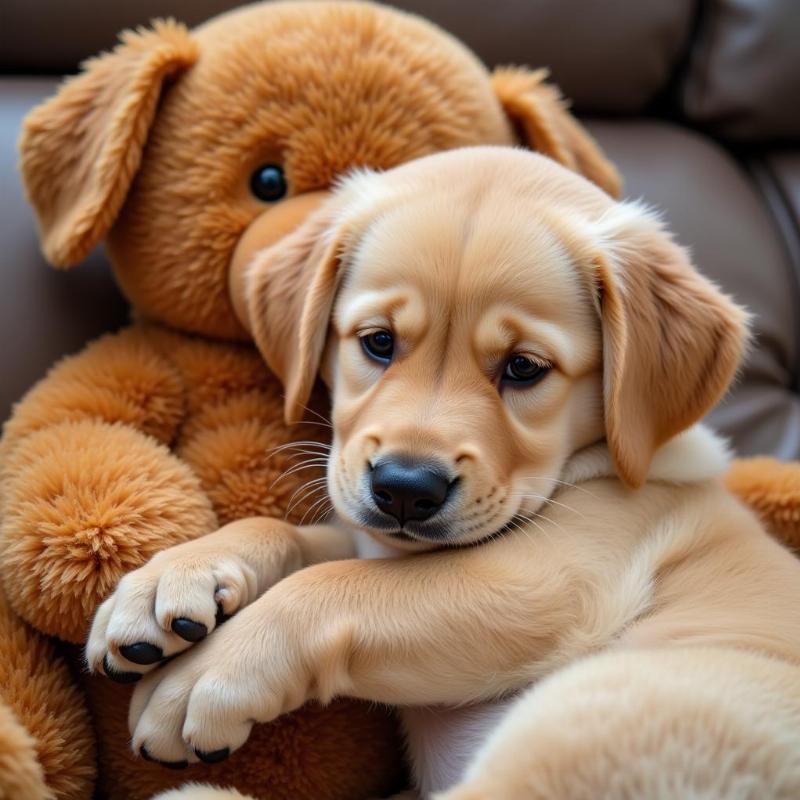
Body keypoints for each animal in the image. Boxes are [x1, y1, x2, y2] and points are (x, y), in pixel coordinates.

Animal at [86, 147, 800, 796]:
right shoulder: (376, 536)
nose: (405, 490)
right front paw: (171, 579)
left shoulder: (547, 575)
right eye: (378, 342)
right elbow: (292, 535)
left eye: (523, 367)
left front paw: (204, 674)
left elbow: (332, 587)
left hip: (598, 710)